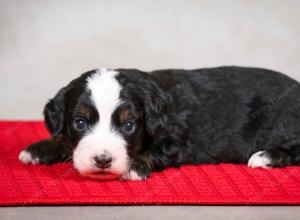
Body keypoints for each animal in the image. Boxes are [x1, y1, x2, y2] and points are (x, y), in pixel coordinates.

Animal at [18, 67, 300, 180]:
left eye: (128, 126)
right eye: (79, 122)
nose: (103, 160)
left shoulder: (176, 141)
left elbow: (154, 153)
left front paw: (135, 167)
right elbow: (63, 140)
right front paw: (40, 149)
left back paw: (266, 156)